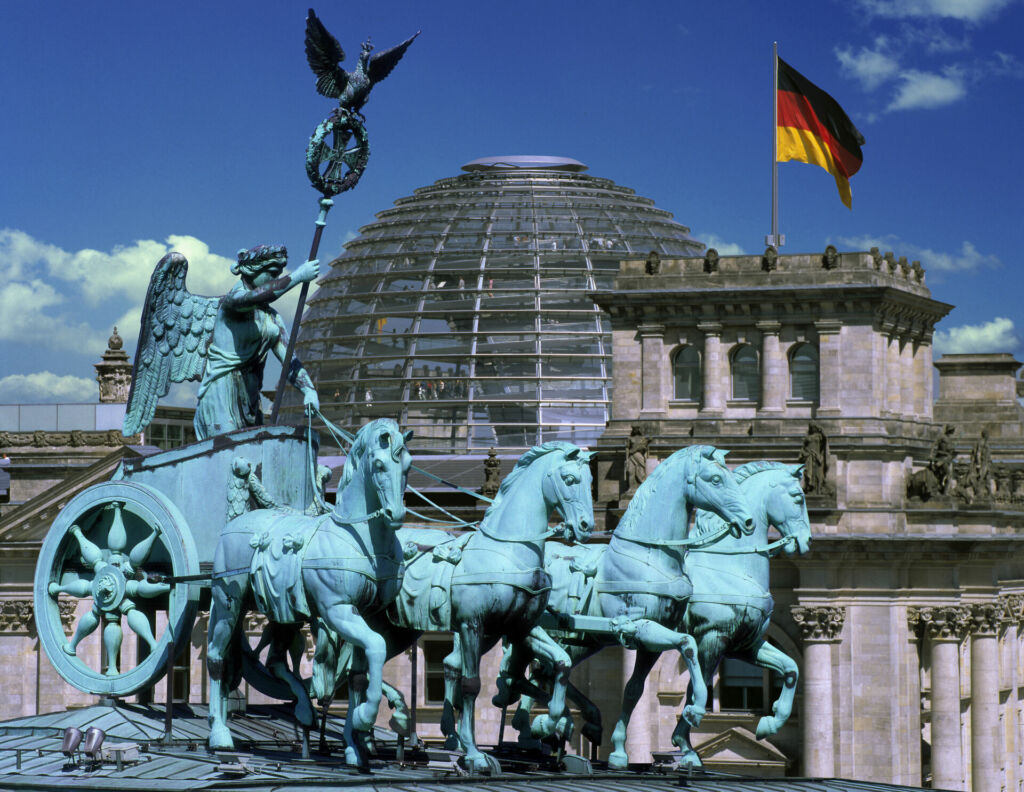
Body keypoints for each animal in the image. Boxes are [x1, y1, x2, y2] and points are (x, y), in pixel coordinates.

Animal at [205, 413, 413, 754]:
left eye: (408, 465)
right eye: (380, 464)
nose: (395, 514)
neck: (361, 539)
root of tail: (234, 523)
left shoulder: (367, 615)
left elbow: (360, 671)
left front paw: (356, 744)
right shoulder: (338, 611)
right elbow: (377, 648)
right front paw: (365, 718)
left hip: (282, 613)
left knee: (275, 662)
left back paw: (303, 710)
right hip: (227, 607)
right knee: (216, 659)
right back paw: (220, 733)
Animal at [675, 461, 811, 762]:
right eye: (798, 497)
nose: (807, 541)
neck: (729, 567)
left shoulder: (744, 643)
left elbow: (791, 668)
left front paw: (770, 722)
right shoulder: (712, 638)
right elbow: (697, 686)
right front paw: (686, 738)